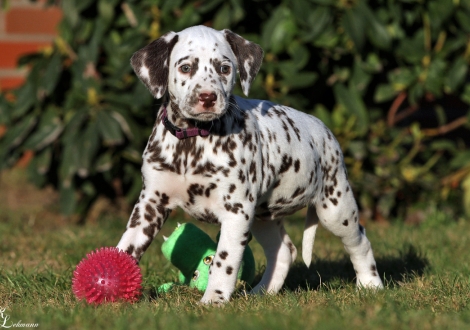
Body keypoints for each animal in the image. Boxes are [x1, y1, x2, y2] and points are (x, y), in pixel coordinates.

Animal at [116, 25, 382, 304]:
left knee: (360, 241)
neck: (192, 141)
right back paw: (262, 293)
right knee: (284, 251)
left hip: (335, 208)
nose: (207, 97)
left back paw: (371, 285)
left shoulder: (235, 211)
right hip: (263, 216)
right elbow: (127, 245)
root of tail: (325, 130)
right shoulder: (150, 204)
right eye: (186, 67)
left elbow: (223, 261)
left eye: (224, 68)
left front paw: (213, 299)